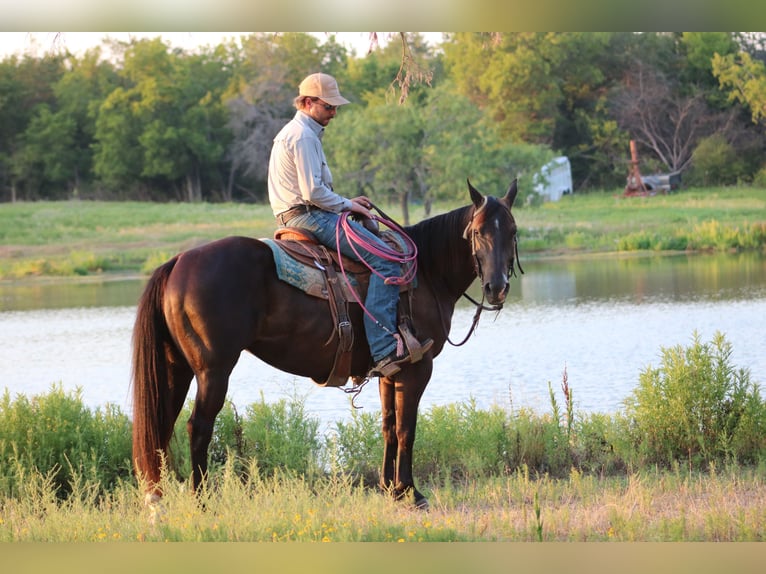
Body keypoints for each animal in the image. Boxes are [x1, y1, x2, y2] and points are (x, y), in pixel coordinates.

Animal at [131, 179, 521, 509]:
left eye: (513, 231)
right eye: (477, 232)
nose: (497, 287)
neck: (425, 271)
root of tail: (178, 261)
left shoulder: (390, 371)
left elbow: (388, 427)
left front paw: (389, 488)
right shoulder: (417, 368)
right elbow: (407, 429)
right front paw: (411, 493)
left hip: (176, 368)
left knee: (162, 428)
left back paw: (159, 500)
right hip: (213, 370)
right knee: (198, 428)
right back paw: (202, 503)